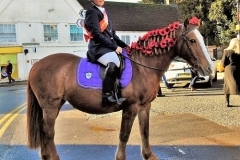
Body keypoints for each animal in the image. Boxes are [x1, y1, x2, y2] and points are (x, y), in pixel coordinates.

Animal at [27, 18, 215, 159]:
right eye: (192, 40)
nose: (209, 69)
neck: (142, 66)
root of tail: (36, 65)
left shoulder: (145, 106)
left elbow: (145, 131)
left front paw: (148, 155)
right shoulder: (130, 107)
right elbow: (124, 135)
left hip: (55, 105)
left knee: (45, 132)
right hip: (50, 106)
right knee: (48, 132)